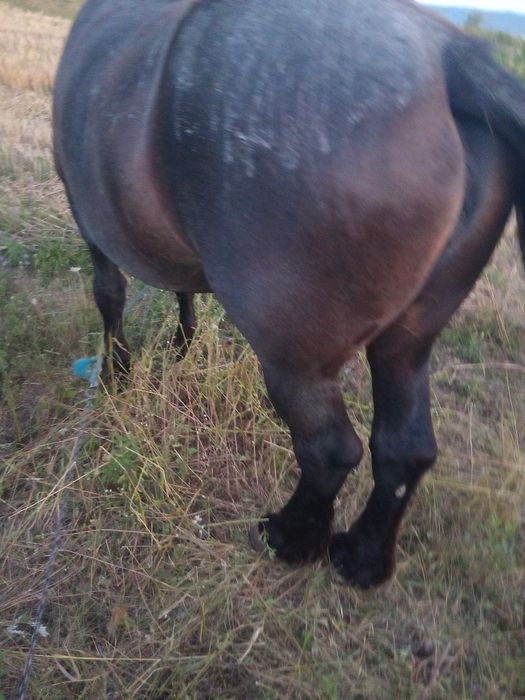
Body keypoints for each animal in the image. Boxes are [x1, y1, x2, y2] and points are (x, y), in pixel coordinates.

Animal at [53, 0, 525, 588]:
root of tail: (450, 58)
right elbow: (182, 291)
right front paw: (181, 345)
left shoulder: (86, 217)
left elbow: (109, 294)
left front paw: (117, 370)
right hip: (408, 342)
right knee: (404, 449)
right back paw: (363, 558)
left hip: (296, 358)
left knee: (330, 450)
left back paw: (289, 537)